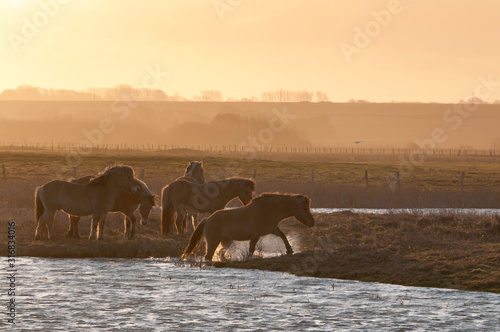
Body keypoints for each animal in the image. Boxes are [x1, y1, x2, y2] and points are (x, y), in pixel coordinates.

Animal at [182, 192, 314, 262]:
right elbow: (251, 249)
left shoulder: (273, 229)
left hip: (225, 241)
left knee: (220, 253)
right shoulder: (255, 235)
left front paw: (289, 250)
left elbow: (283, 236)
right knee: (208, 256)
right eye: (304, 208)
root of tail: (207, 219)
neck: (268, 210)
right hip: (213, 242)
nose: (312, 223)